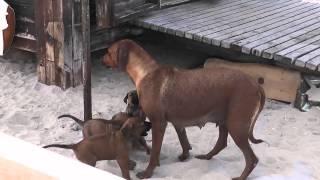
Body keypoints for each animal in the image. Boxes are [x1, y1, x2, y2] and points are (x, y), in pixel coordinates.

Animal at [102, 39, 264, 180]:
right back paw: (206, 156)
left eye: (109, 52)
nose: (101, 59)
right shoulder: (176, 122)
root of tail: (256, 84)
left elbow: (154, 152)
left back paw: (240, 176)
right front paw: (185, 155)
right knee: (222, 143)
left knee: (252, 159)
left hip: (237, 126)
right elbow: (183, 140)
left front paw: (148, 173)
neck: (145, 72)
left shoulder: (158, 123)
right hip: (225, 120)